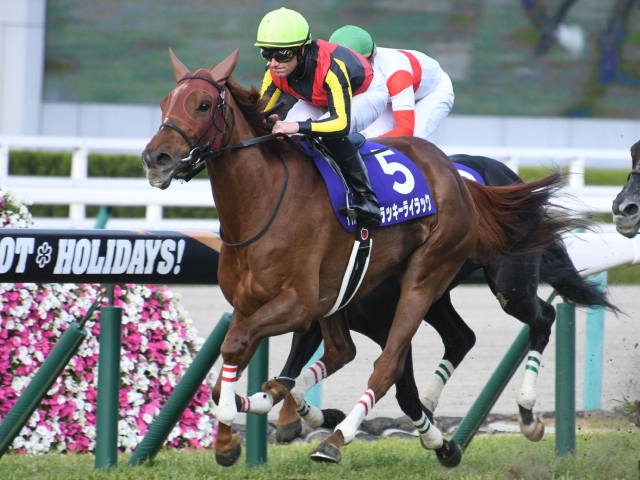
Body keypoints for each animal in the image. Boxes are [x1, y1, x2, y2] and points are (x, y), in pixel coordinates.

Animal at [274, 153, 616, 446]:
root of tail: (511, 176)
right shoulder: (316, 317)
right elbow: (289, 373)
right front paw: (303, 419)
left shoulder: (389, 327)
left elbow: (398, 384)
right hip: (436, 296)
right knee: (461, 337)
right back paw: (430, 404)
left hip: (509, 284)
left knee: (542, 318)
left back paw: (527, 413)